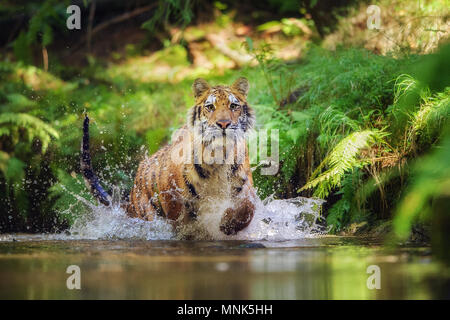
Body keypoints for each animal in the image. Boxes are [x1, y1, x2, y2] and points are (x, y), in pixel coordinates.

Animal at [81, 76, 256, 236]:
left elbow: (248, 208)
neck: (218, 156)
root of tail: (133, 190)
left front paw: (227, 223)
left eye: (233, 106)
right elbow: (182, 222)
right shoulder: (173, 198)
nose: (224, 124)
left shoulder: (244, 187)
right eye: (210, 107)